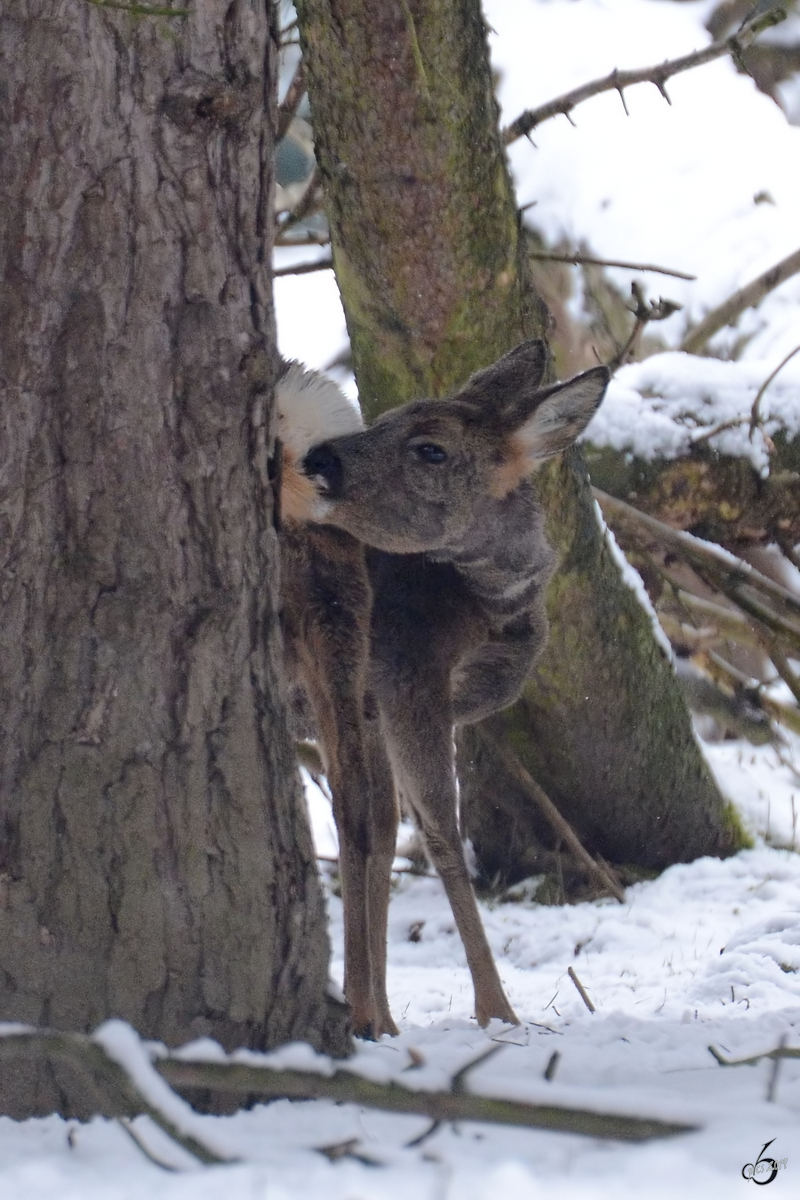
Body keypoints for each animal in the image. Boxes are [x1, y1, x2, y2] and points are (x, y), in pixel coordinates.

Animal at [278, 343, 609, 1036]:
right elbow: (438, 831)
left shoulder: (380, 704)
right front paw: (497, 1010)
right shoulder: (409, 673)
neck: (491, 601)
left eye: (430, 447)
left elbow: (388, 829)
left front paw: (381, 1013)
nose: (321, 459)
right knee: (351, 807)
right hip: (333, 632)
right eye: (386, 419)